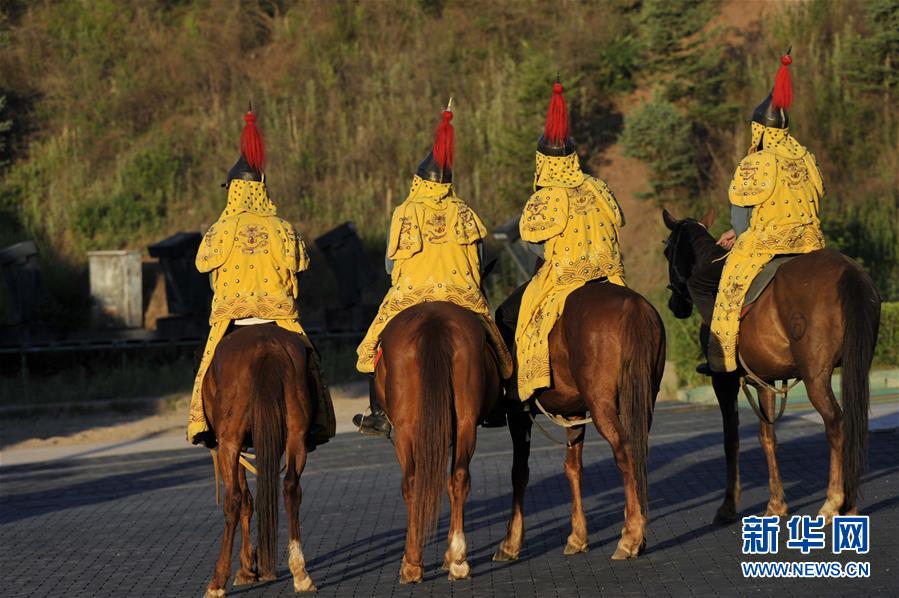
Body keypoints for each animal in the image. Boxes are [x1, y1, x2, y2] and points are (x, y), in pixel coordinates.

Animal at [202, 326, 318, 596]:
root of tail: (267, 347)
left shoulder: (237, 445)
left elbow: (244, 499)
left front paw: (246, 570)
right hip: (296, 433)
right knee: (290, 488)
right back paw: (300, 574)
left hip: (230, 440)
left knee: (233, 500)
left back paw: (217, 582)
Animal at [370, 302, 502, 584]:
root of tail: (434, 321)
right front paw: (450, 556)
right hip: (464, 422)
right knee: (459, 478)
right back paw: (459, 560)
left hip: (405, 429)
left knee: (411, 483)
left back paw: (412, 564)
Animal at [492, 282, 668, 564]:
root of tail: (633, 307)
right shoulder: (574, 413)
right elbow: (573, 468)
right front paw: (577, 537)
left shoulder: (518, 415)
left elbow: (519, 473)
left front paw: (510, 542)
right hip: (643, 399)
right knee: (638, 452)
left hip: (602, 406)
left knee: (626, 453)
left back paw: (631, 536)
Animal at [664, 211, 884, 524]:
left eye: (667, 251)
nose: (675, 305)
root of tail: (849, 273)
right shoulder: (763, 381)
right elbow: (767, 437)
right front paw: (776, 503)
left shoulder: (724, 382)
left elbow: (731, 439)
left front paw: (728, 506)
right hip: (857, 364)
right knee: (854, 421)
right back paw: (849, 505)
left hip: (816, 377)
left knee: (836, 423)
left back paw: (832, 502)